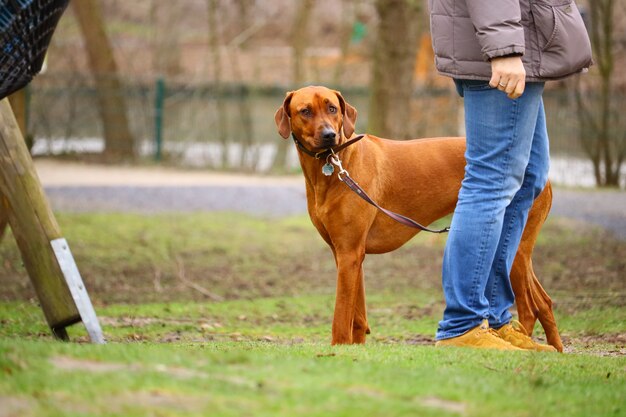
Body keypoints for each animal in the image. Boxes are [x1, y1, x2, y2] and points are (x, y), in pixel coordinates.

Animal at [272, 85, 560, 352]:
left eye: (332, 108)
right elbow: (358, 314)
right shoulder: (348, 253)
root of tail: (540, 173)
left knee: (529, 306)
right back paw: (555, 349)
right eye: (305, 111)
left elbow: (341, 315)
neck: (336, 163)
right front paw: (356, 347)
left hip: (512, 247)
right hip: (519, 249)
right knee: (543, 302)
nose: (330, 135)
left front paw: (338, 347)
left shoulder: (349, 253)